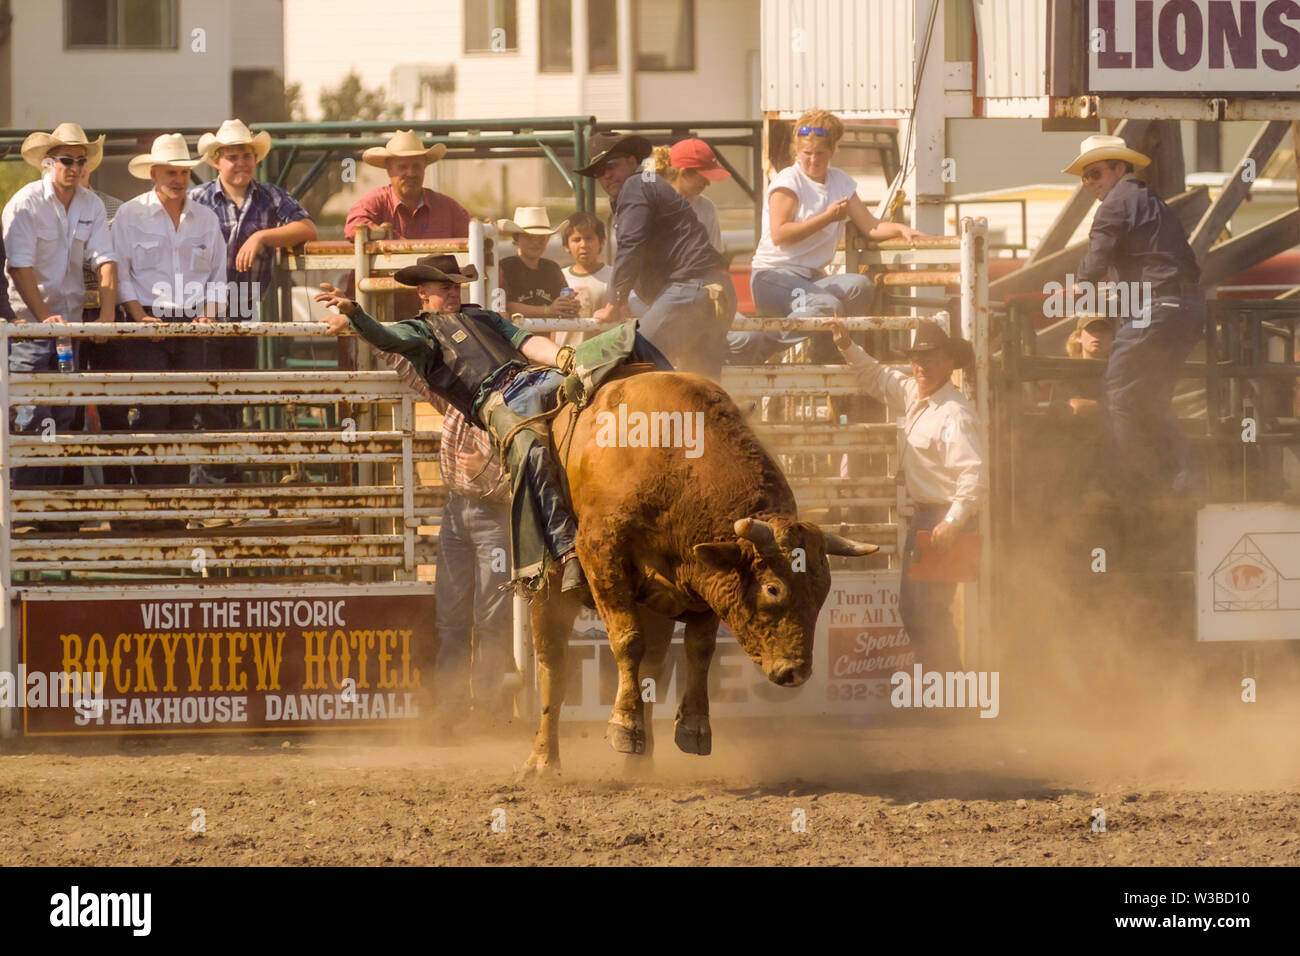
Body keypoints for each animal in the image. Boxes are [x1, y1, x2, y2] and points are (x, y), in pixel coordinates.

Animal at [522, 369, 878, 780]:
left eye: (822, 595)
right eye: (773, 589)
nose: (797, 672)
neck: (672, 461)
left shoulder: (705, 581)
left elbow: (699, 648)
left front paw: (693, 727)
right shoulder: (602, 555)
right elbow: (627, 640)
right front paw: (623, 726)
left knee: (652, 668)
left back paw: (639, 764)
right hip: (550, 588)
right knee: (553, 665)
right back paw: (543, 761)